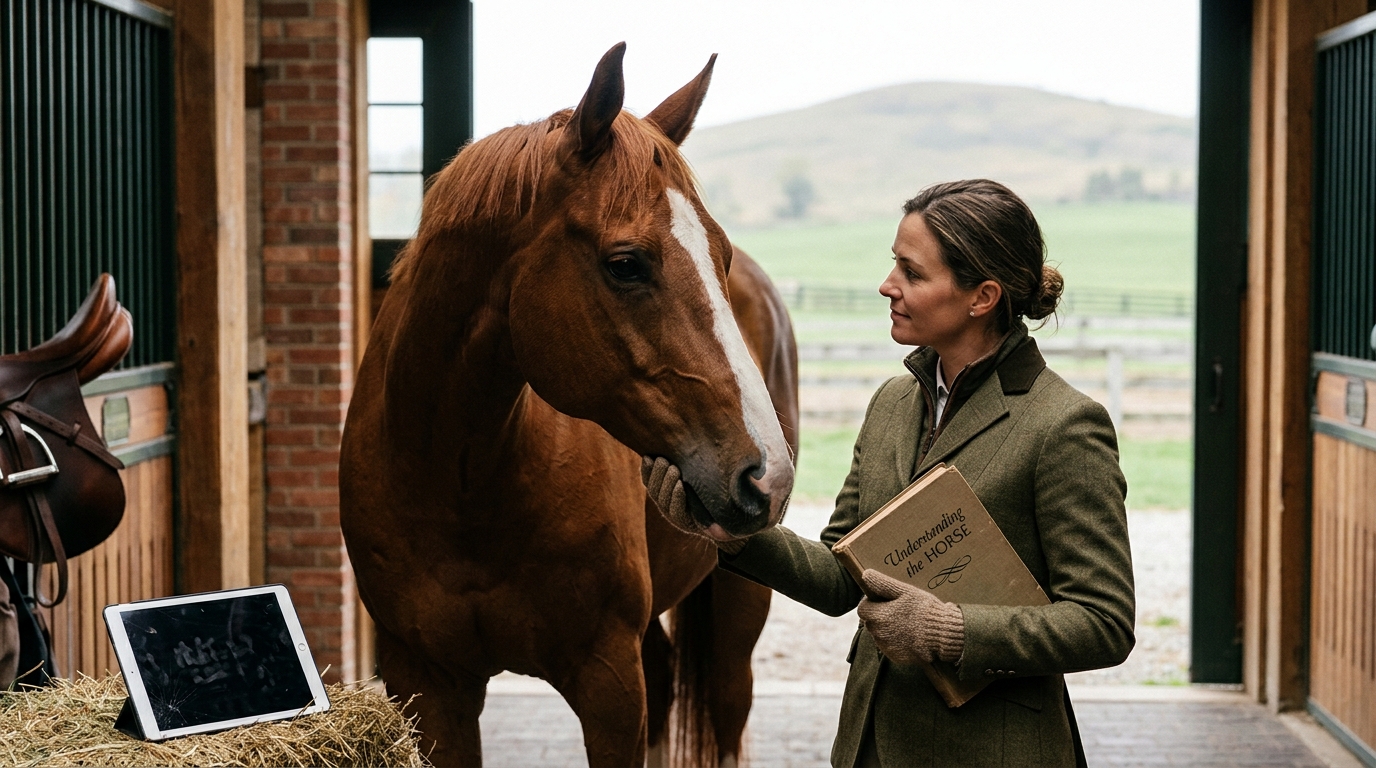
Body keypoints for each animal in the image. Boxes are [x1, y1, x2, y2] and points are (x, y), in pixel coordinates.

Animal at [340, 43, 799, 767]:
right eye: (626, 263)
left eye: (718, 256)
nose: (766, 474)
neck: (462, 483)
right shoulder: (428, 683)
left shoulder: (607, 682)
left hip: (737, 606)